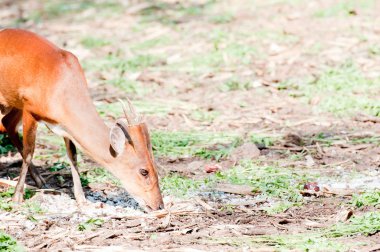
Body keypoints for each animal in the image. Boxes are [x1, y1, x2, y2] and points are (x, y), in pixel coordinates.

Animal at [0, 28, 164, 211]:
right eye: (144, 171)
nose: (159, 205)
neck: (62, 89)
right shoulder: (29, 107)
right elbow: (29, 152)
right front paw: (17, 197)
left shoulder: (64, 124)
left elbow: (73, 155)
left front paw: (81, 198)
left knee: (7, 123)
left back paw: (40, 180)